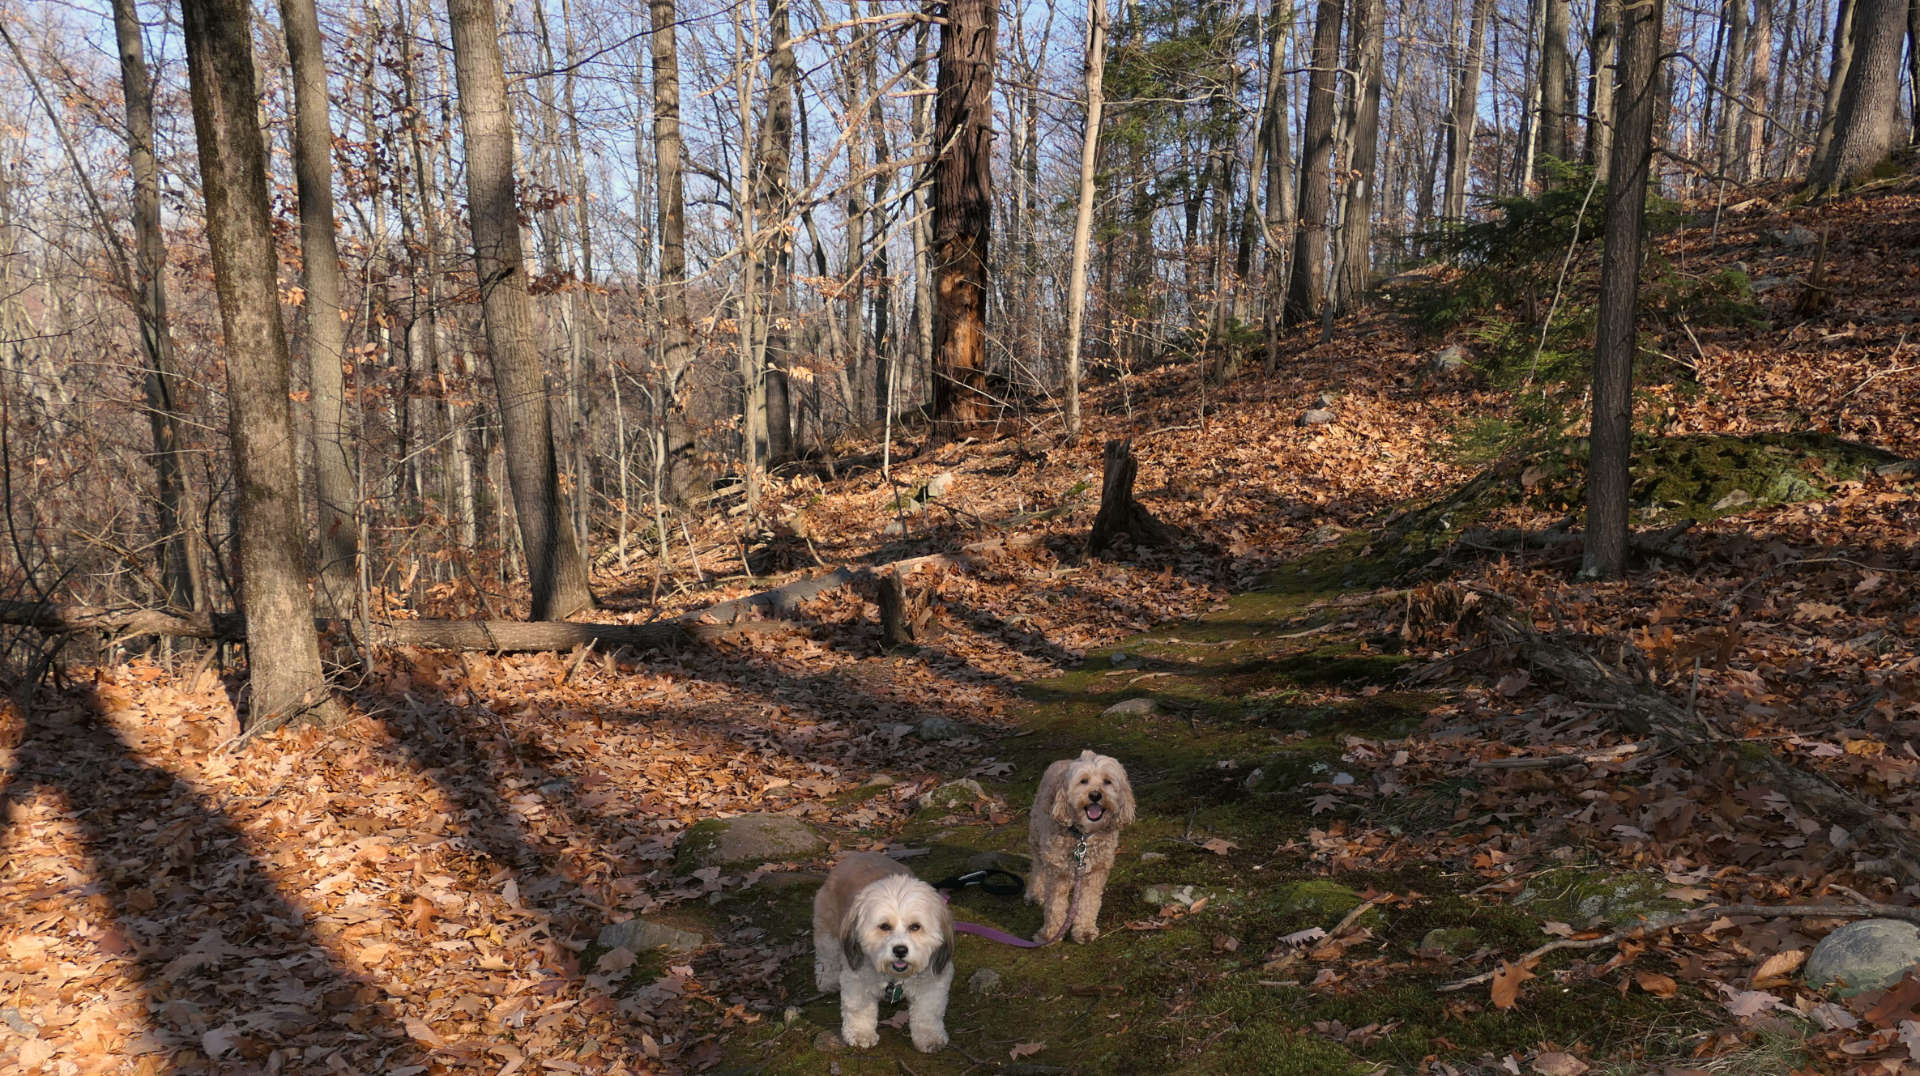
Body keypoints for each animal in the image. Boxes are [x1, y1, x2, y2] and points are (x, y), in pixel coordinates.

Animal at [814, 849, 956, 1052]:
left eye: (915, 927)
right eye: (884, 926)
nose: (900, 950)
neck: (895, 978)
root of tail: (855, 855)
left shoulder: (933, 981)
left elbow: (928, 1013)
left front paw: (930, 1037)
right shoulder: (856, 978)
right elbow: (858, 1010)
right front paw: (860, 1034)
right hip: (828, 932)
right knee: (826, 958)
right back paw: (827, 981)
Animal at [1029, 749, 1128, 941]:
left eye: (1107, 781)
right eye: (1083, 781)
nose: (1095, 795)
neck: (1083, 836)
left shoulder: (1097, 871)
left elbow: (1089, 902)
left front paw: (1084, 930)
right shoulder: (1057, 871)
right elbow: (1054, 905)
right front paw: (1050, 934)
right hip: (1037, 837)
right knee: (1037, 867)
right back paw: (1034, 893)